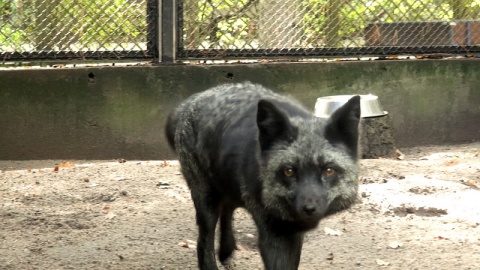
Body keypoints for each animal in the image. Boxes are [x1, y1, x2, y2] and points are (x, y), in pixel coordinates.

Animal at [165, 82, 360, 270]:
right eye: (289, 171)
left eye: (328, 170)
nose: (309, 208)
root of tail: (192, 100)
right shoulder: (273, 234)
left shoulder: (293, 233)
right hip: (207, 200)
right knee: (204, 240)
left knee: (227, 210)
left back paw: (226, 251)